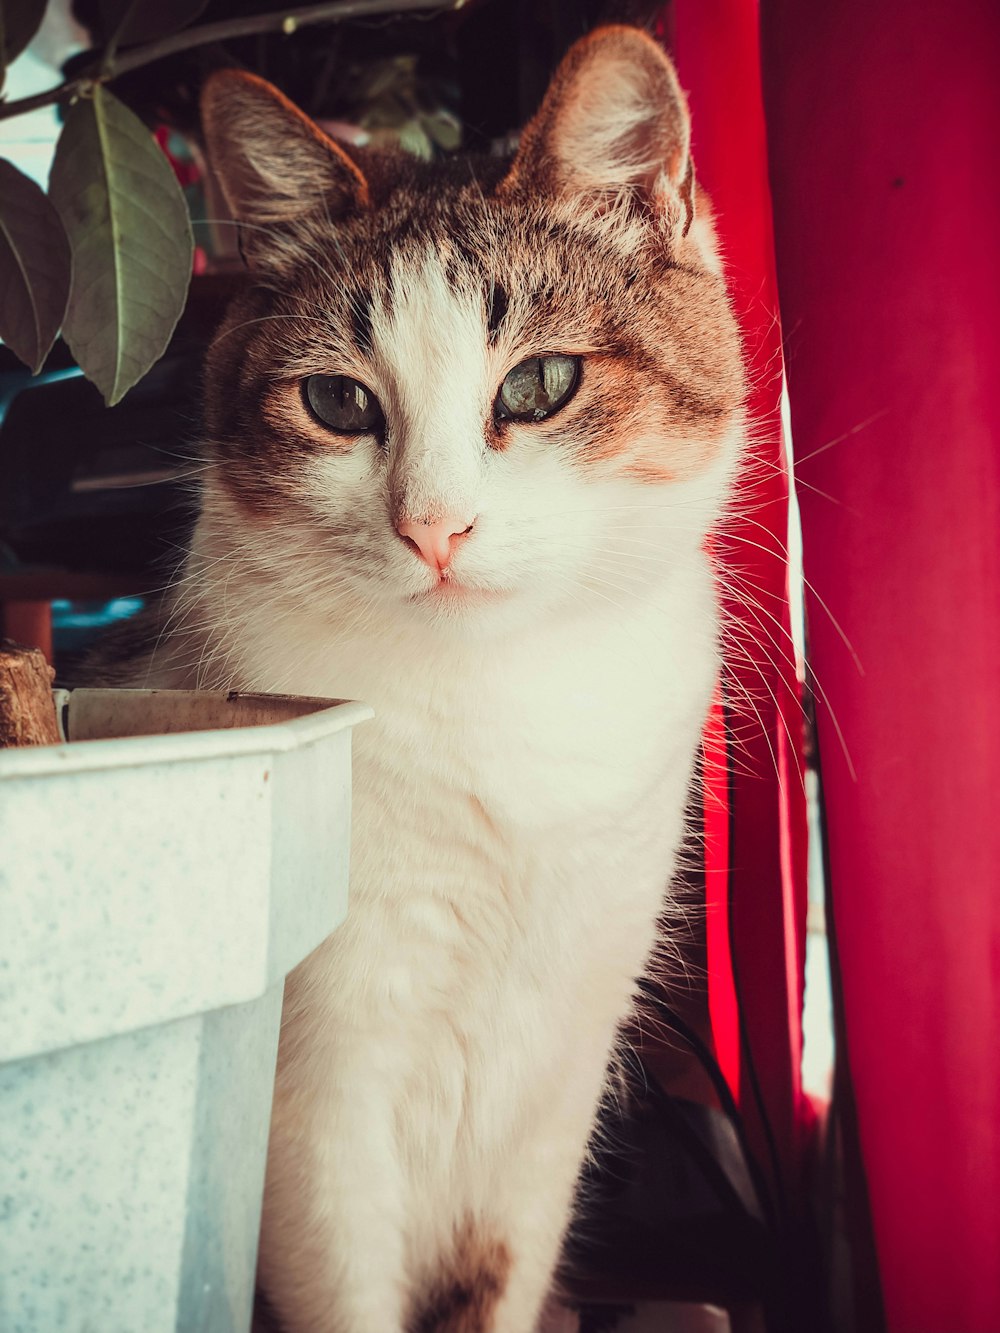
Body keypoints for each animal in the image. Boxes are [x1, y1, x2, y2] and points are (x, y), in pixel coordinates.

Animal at [121, 23, 746, 1333]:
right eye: (336, 400)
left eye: (539, 385)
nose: (435, 527)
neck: (500, 702)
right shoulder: (317, 1098)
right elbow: (347, 1284)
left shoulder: (560, 1069)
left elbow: (504, 1274)